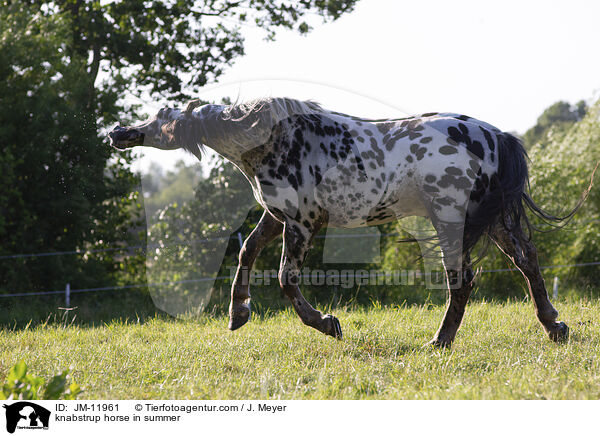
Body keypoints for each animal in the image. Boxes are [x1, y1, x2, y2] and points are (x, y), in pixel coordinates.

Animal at [109, 98, 592, 348]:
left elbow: (285, 280)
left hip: (452, 219)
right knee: (527, 262)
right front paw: (238, 313)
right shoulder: (277, 217)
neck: (271, 140)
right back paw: (555, 327)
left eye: (160, 118)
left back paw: (439, 342)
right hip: (493, 222)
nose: (118, 132)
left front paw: (326, 323)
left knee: (463, 279)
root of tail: (497, 136)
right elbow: (247, 252)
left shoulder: (303, 223)